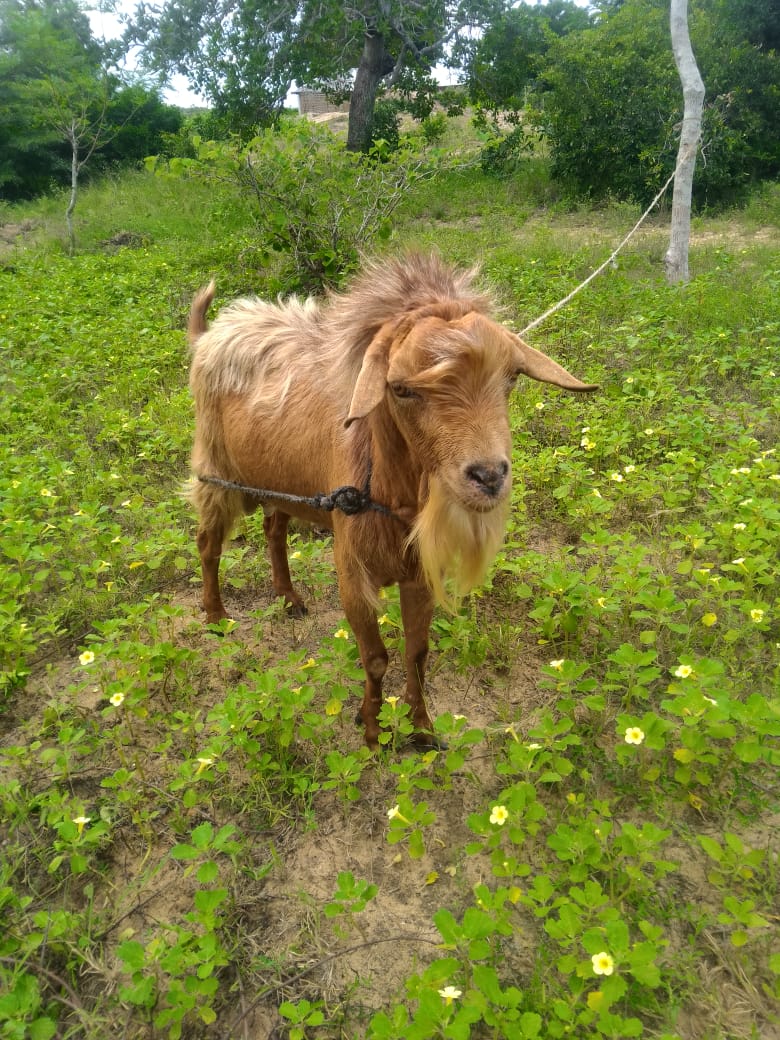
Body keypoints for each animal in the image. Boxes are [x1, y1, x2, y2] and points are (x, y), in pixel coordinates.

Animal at [187, 253, 597, 748]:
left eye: (512, 378)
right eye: (401, 388)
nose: (488, 476)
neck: (386, 492)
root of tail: (212, 332)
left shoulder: (417, 573)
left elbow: (417, 652)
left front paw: (421, 729)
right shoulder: (352, 575)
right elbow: (376, 657)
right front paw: (371, 728)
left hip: (281, 481)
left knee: (274, 529)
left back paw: (289, 598)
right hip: (216, 471)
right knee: (208, 543)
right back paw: (216, 616)